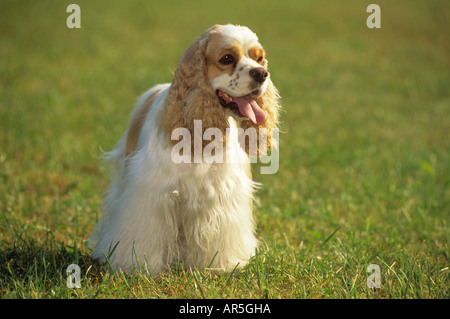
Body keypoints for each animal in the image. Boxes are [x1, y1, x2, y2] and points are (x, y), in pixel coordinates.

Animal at [88, 25, 282, 276]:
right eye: (227, 58)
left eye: (259, 59)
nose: (261, 73)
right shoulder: (150, 196)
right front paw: (137, 267)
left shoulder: (221, 197)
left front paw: (221, 265)